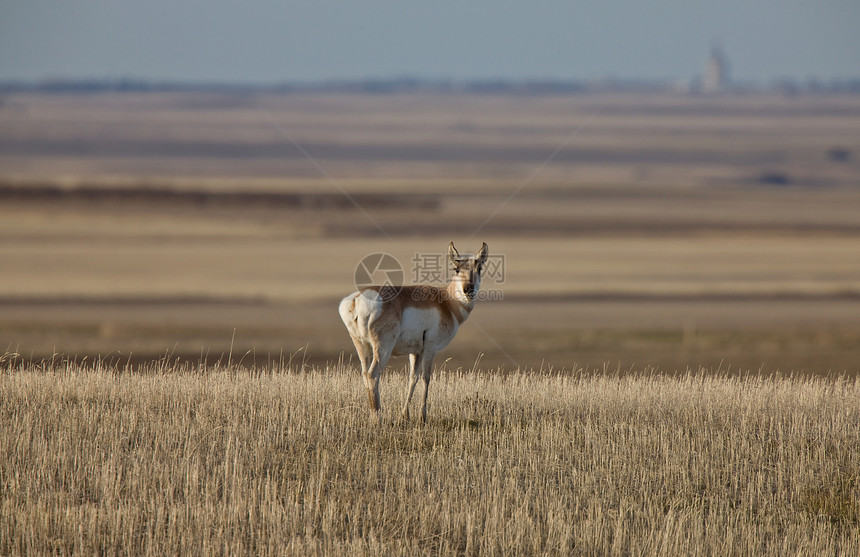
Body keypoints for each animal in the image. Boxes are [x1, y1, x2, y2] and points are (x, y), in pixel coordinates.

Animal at [342, 241, 490, 420]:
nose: (468, 290)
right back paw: (378, 418)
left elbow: (413, 378)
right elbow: (426, 378)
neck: (446, 302)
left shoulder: (415, 352)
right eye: (456, 269)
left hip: (361, 346)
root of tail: (357, 299)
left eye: (479, 268)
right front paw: (422, 416)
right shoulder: (430, 348)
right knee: (373, 374)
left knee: (364, 374)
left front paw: (405, 414)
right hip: (383, 348)